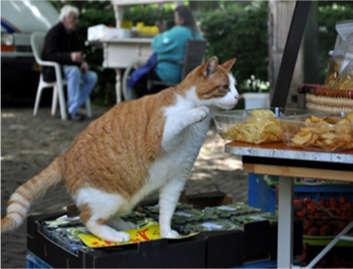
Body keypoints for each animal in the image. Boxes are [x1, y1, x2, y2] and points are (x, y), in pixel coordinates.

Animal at [1, 56, 238, 241]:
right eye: (225, 87)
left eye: (235, 87)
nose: (238, 97)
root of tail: (64, 156)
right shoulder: (160, 133)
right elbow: (183, 117)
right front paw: (197, 112)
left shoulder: (177, 179)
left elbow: (167, 210)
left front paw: (165, 233)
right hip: (110, 197)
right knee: (88, 219)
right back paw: (115, 236)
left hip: (125, 198)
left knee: (104, 217)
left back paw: (124, 225)